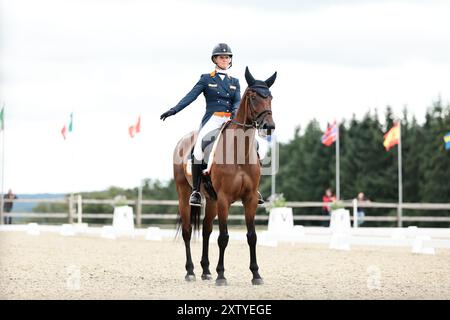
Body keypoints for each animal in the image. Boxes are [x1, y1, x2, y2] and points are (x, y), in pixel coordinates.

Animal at [174, 66, 276, 286]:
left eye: (271, 97)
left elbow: (252, 236)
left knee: (205, 230)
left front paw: (256, 274)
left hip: (211, 199)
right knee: (187, 231)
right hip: (185, 194)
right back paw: (191, 271)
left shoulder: (250, 199)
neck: (239, 153)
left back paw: (205, 271)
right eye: (253, 97)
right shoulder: (224, 199)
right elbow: (223, 237)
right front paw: (221, 275)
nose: (269, 126)